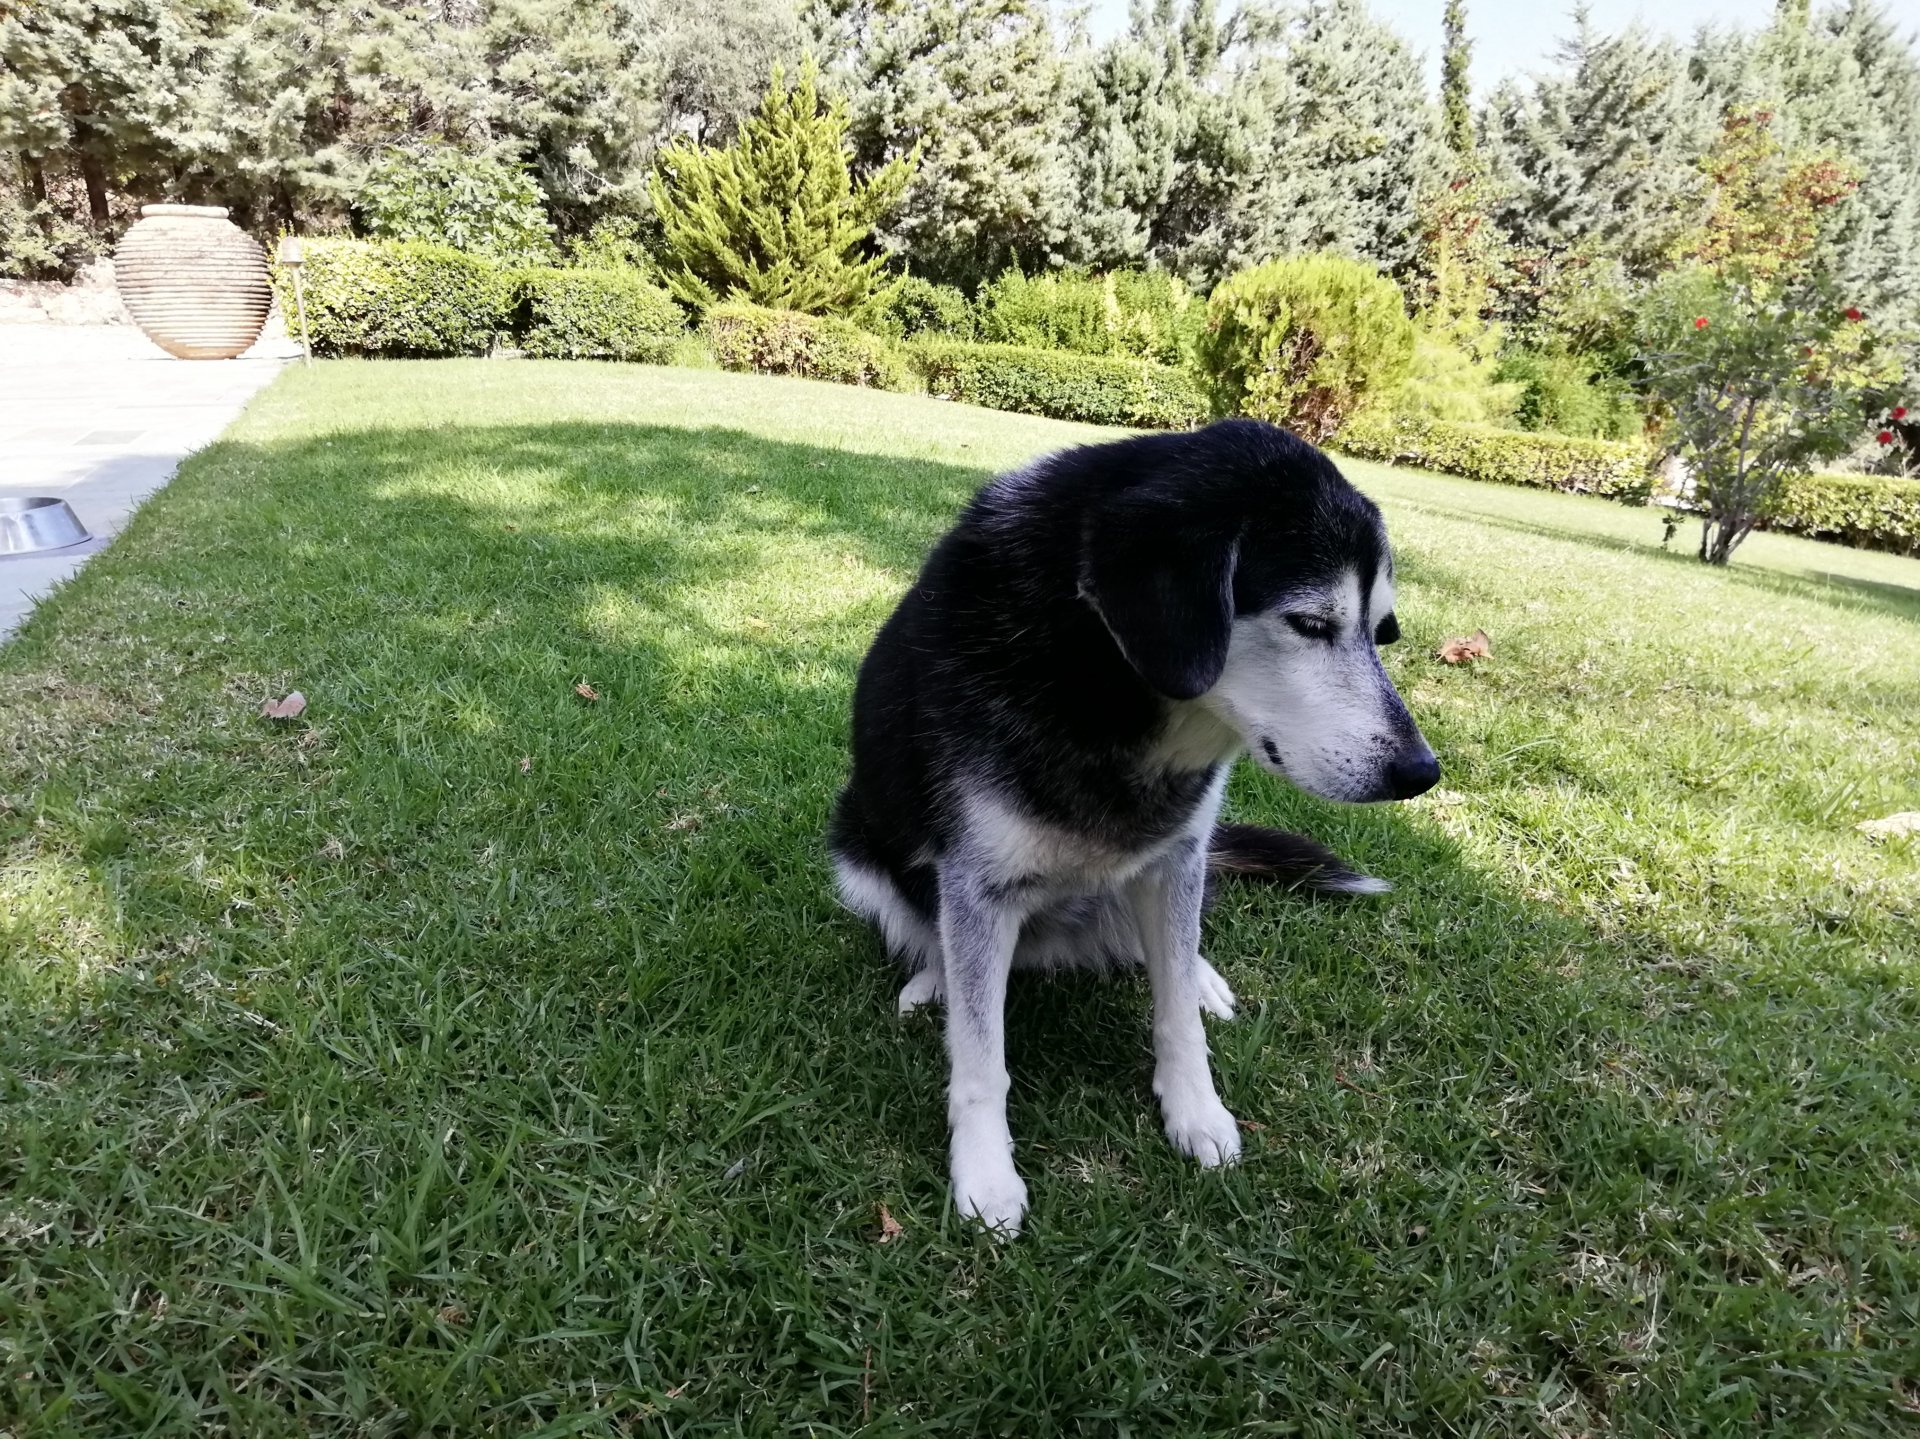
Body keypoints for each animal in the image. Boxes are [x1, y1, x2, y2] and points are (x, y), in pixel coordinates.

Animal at [830, 418, 1438, 1234]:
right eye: (1311, 623)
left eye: (1383, 632)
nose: (1422, 772)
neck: (1103, 680)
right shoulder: (978, 887)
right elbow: (982, 1058)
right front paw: (986, 1171)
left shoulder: (1178, 855)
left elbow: (1176, 1009)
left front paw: (1195, 1110)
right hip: (855, 847)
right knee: (932, 935)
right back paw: (934, 980)